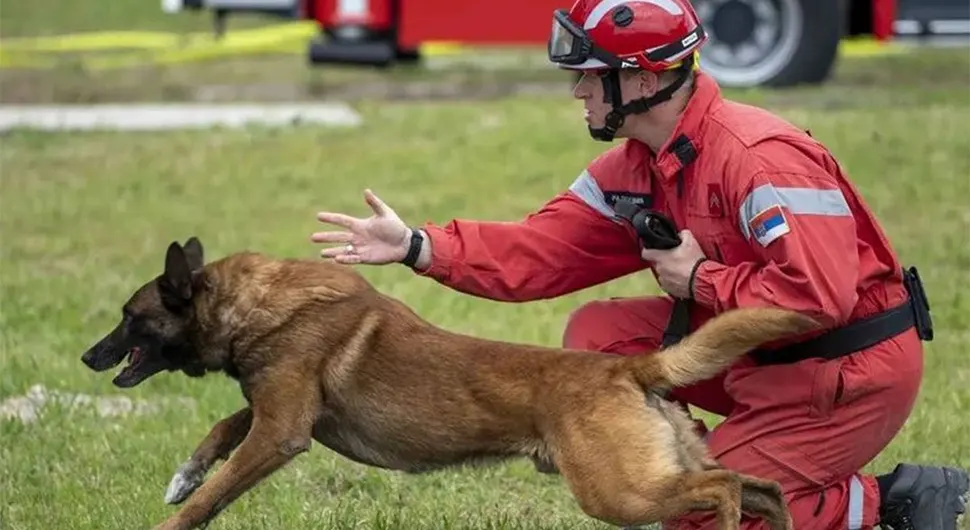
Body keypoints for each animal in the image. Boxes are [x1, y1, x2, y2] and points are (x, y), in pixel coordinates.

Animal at [79, 237, 816, 524]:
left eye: (130, 317)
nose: (88, 356)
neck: (253, 303)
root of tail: (626, 367)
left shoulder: (282, 432)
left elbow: (215, 493)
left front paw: (182, 505)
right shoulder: (279, 412)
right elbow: (221, 428)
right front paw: (185, 475)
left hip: (619, 493)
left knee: (724, 488)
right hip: (653, 473)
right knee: (764, 487)